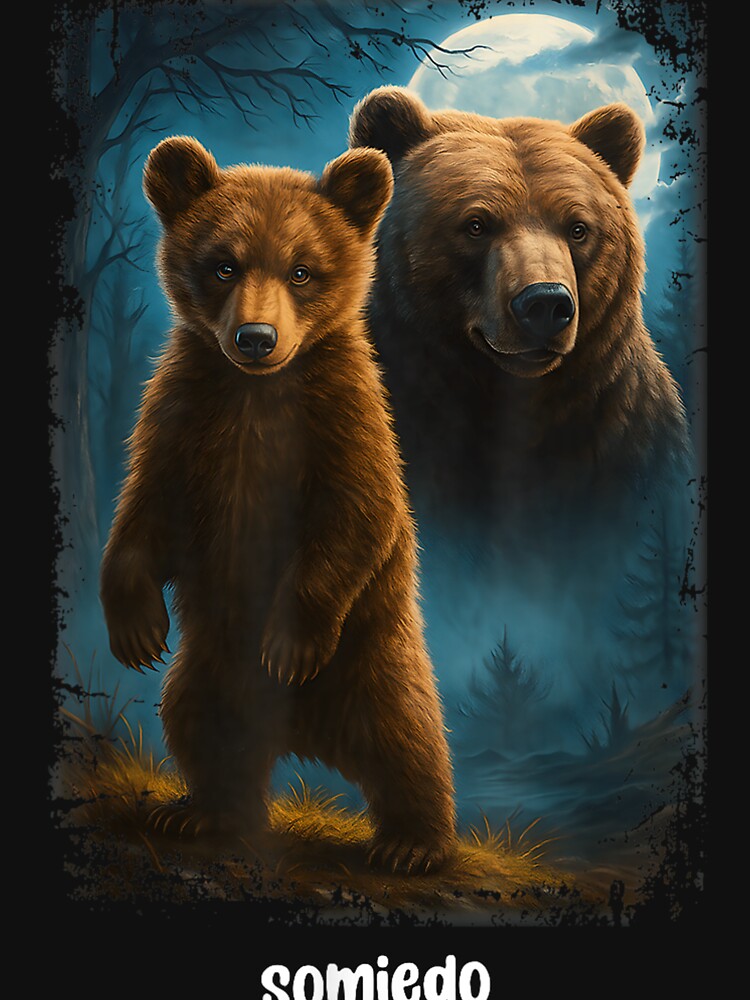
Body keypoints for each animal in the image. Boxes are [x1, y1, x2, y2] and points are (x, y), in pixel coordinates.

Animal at [99, 135, 457, 873]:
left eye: (302, 271)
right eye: (223, 265)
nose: (256, 338)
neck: (258, 393)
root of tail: (303, 738)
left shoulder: (344, 419)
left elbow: (356, 516)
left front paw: (289, 643)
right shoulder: (185, 417)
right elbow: (147, 512)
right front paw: (136, 628)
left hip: (372, 661)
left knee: (408, 743)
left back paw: (413, 843)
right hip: (208, 668)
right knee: (200, 728)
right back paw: (201, 812)